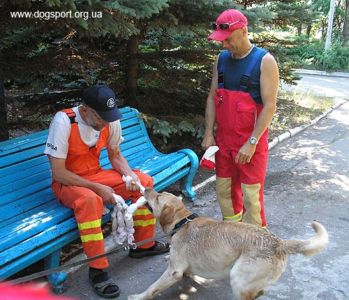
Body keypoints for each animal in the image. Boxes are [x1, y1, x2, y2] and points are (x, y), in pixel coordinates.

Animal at [127, 190, 326, 300]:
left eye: (158, 196)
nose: (147, 187)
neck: (181, 221)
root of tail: (279, 243)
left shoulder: (172, 272)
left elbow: (152, 288)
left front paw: (138, 296)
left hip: (238, 277)